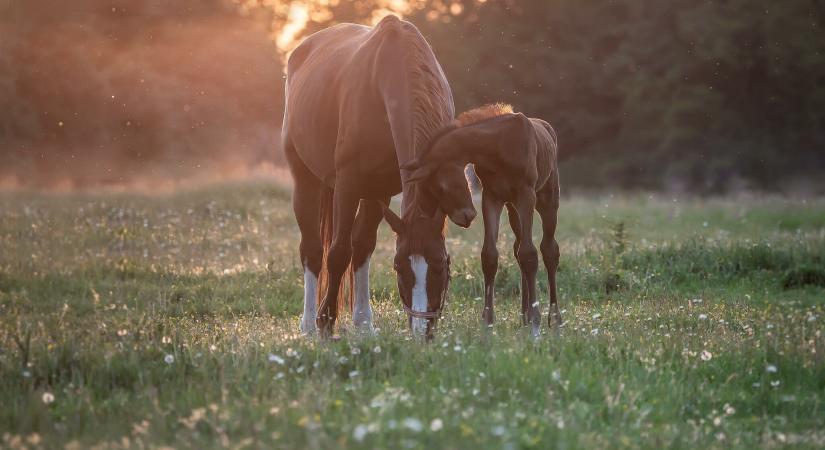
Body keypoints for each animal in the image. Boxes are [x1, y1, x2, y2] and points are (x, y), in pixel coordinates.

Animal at [284, 15, 476, 340]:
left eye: (441, 265)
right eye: (399, 267)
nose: (421, 331)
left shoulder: (380, 189)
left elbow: (362, 247)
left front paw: (363, 323)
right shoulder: (348, 184)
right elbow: (338, 252)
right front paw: (326, 322)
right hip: (306, 181)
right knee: (312, 250)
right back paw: (309, 323)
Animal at [400, 104, 560, 338]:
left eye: (439, 187)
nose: (466, 217)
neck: (498, 146)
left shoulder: (526, 194)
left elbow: (530, 254)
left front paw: (536, 328)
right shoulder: (491, 197)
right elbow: (490, 256)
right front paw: (487, 325)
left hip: (546, 198)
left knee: (549, 250)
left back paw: (554, 320)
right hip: (513, 208)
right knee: (518, 247)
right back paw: (524, 317)